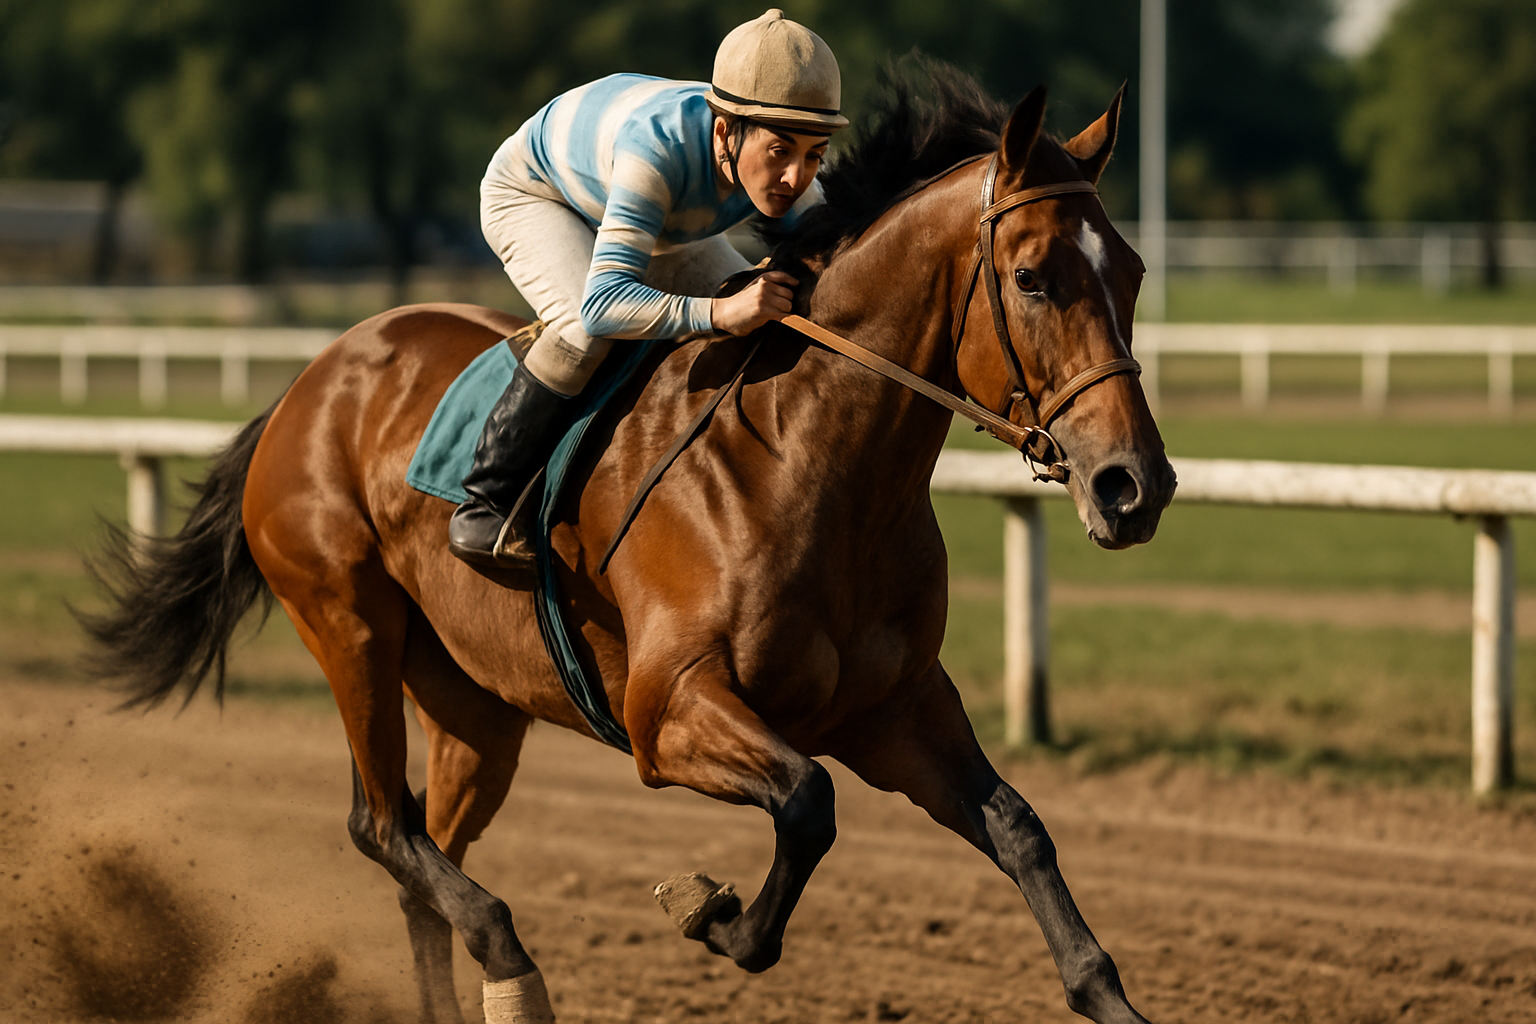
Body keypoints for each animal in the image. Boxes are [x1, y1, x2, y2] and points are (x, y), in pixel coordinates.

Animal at [83, 63, 1175, 1024]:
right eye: (1033, 278)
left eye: (1131, 271)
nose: (1136, 485)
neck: (808, 462)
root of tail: (309, 381)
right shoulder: (669, 711)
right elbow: (808, 800)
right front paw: (711, 913)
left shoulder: (895, 707)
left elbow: (1020, 829)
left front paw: (1108, 993)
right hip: (348, 623)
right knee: (382, 825)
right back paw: (511, 958)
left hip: (476, 703)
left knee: (424, 851)